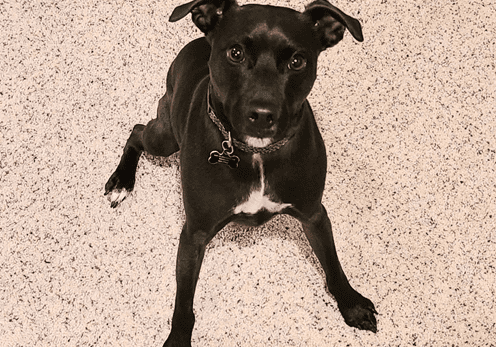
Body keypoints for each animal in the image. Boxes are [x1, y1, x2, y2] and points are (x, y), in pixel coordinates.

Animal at [104, 0, 376, 346]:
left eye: (298, 61)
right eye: (235, 53)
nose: (262, 115)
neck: (257, 153)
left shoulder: (314, 213)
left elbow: (333, 263)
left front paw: (352, 304)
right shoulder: (195, 233)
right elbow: (184, 300)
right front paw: (178, 337)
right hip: (165, 137)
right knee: (137, 131)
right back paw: (121, 183)